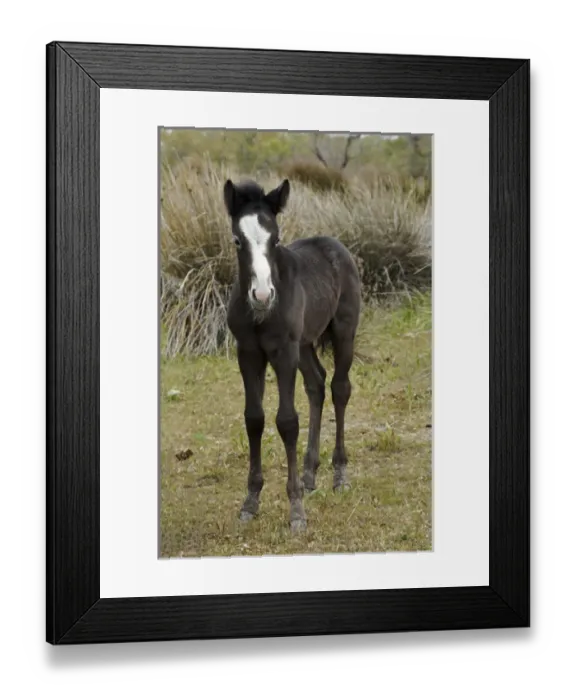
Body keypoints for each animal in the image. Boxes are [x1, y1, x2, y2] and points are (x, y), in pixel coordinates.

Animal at [224, 177, 361, 533]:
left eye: (276, 238)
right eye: (237, 240)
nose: (261, 295)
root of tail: (335, 244)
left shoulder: (283, 352)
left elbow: (286, 421)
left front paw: (296, 511)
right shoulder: (248, 353)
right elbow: (254, 418)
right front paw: (250, 501)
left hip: (343, 331)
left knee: (339, 388)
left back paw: (339, 474)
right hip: (304, 344)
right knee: (316, 384)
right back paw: (310, 473)